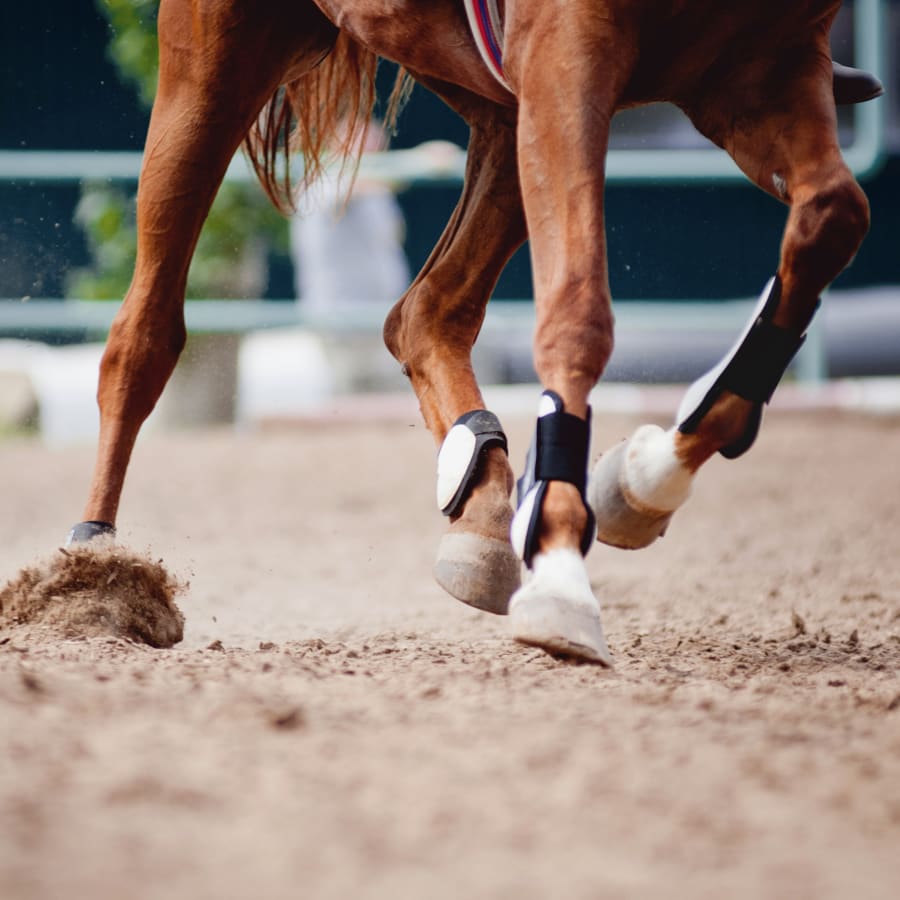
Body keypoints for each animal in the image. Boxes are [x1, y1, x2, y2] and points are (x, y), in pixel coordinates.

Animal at [68, 0, 880, 660]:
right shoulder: (569, 53)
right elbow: (578, 312)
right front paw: (563, 574)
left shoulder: (761, 69)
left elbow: (833, 218)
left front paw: (643, 479)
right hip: (217, 64)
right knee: (144, 333)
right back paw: (91, 572)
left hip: (495, 97)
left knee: (423, 314)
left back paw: (485, 511)